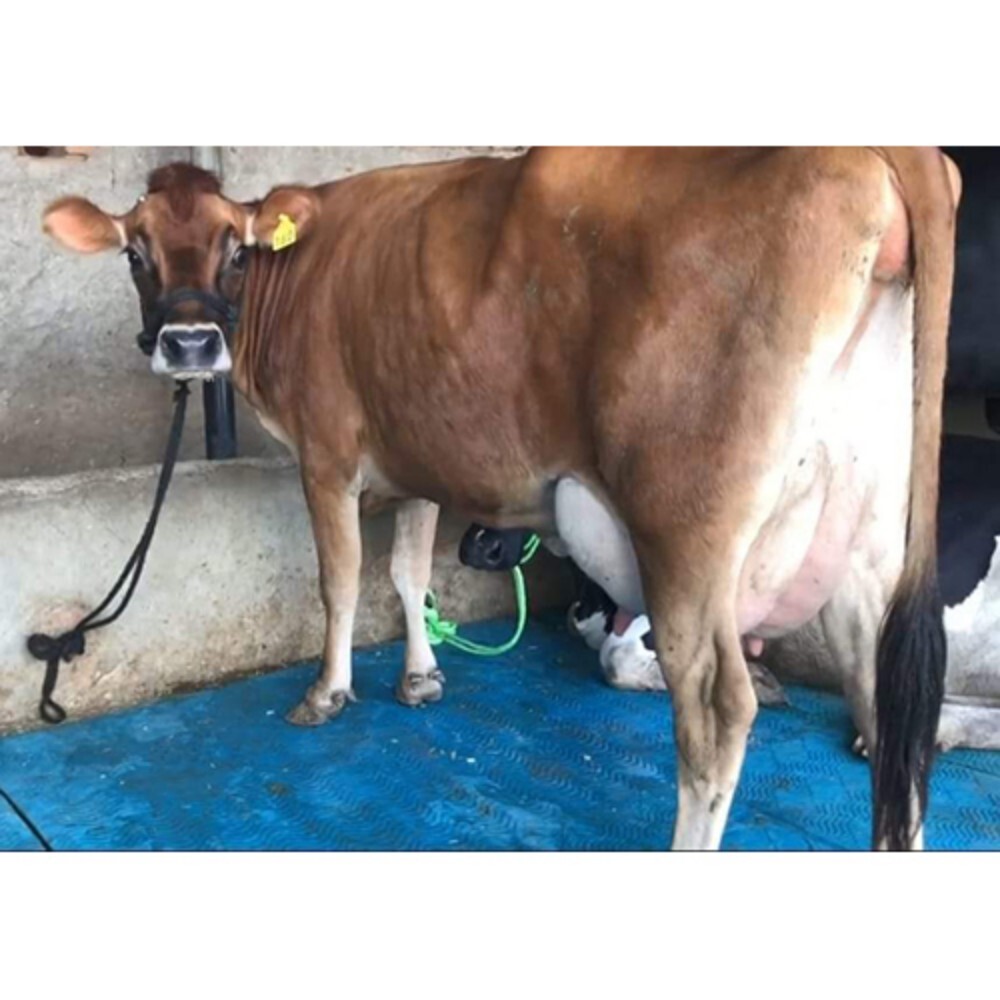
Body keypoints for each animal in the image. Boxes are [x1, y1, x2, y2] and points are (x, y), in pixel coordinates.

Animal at [42, 147, 961, 850]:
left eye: (235, 247)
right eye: (134, 251)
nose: (189, 342)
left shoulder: (328, 456)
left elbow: (340, 582)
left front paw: (327, 693)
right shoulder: (416, 458)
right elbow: (410, 575)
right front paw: (420, 678)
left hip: (685, 523)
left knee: (715, 707)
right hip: (866, 527)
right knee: (886, 698)